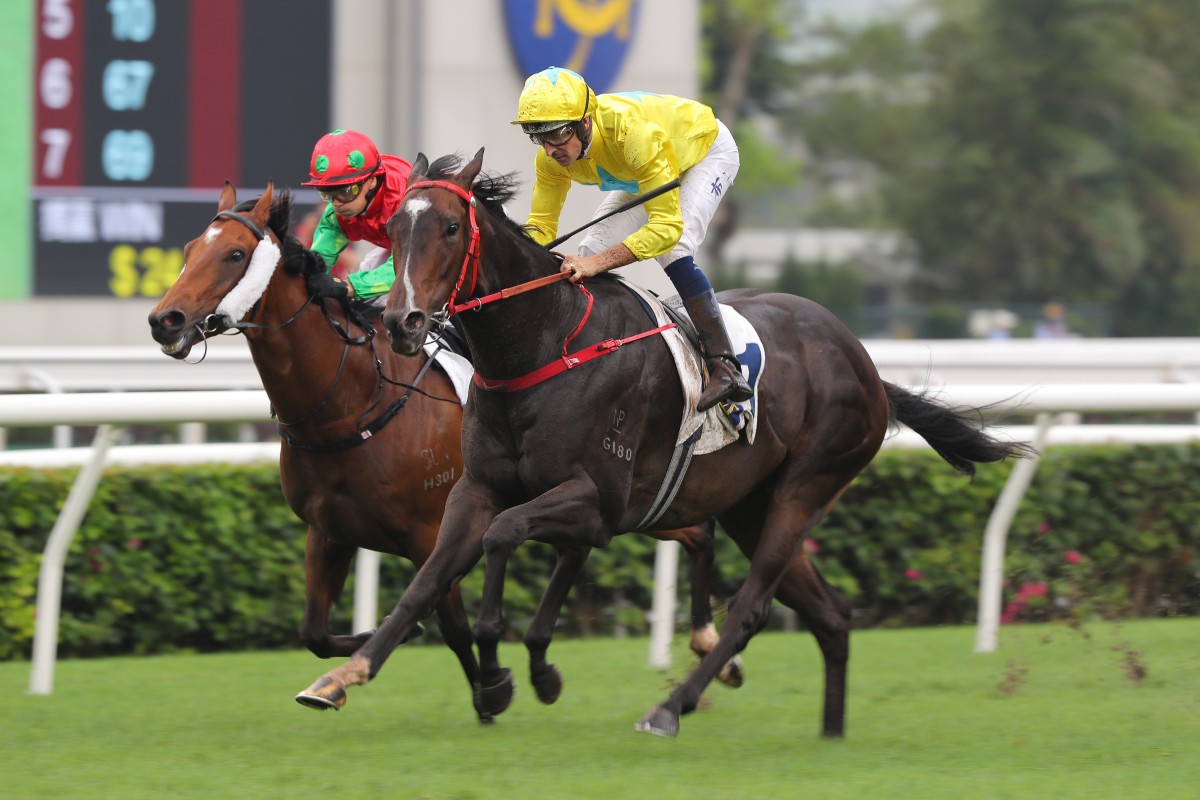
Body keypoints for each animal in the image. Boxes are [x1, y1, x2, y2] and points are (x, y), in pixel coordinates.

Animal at [142, 185, 739, 719]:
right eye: (191, 249)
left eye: (235, 254)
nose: (164, 320)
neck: (350, 403)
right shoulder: (328, 529)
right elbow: (313, 630)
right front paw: (363, 650)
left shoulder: (425, 530)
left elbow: (448, 619)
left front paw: (490, 688)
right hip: (639, 502)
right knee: (687, 532)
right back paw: (714, 653)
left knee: (692, 533)